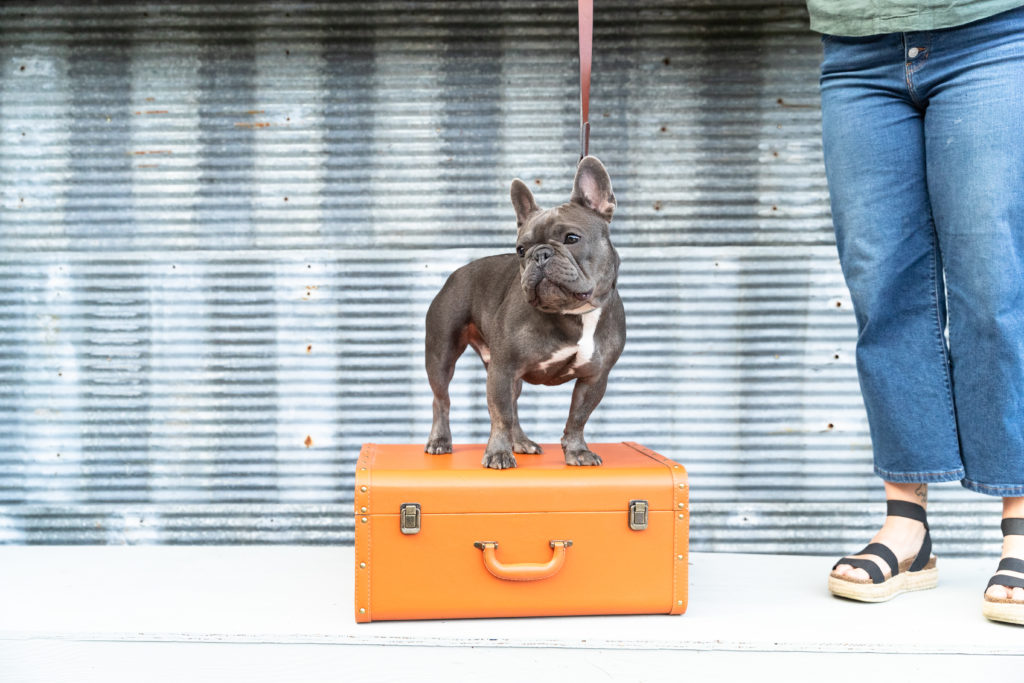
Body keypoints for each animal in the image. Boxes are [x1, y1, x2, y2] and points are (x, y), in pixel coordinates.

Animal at [423, 157, 622, 471]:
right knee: (442, 399)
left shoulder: (594, 377)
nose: (539, 254)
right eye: (520, 249)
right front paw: (498, 453)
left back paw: (521, 442)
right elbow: (500, 415)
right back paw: (441, 440)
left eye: (572, 238)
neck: (572, 314)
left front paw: (577, 451)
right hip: (442, 354)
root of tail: (457, 273)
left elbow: (578, 417)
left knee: (514, 405)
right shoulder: (503, 369)